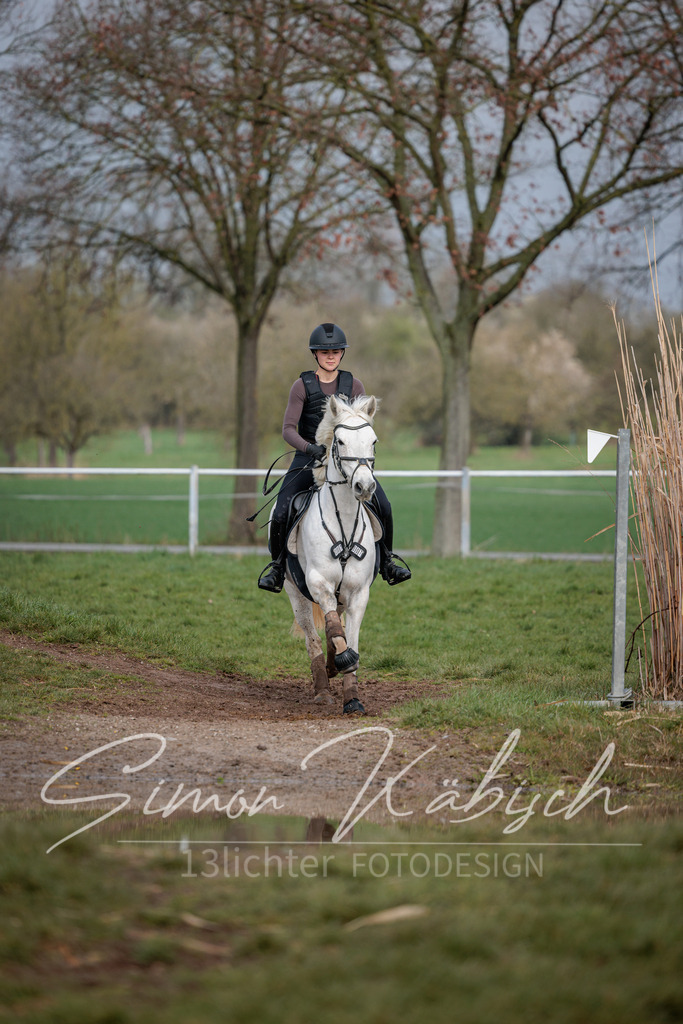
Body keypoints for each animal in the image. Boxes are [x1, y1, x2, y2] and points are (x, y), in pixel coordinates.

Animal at [282, 393, 383, 715]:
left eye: (373, 441)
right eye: (339, 441)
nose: (364, 486)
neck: (344, 521)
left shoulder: (358, 593)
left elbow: (350, 637)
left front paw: (352, 697)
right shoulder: (319, 584)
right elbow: (335, 633)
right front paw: (341, 664)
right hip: (295, 592)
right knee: (313, 638)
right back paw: (322, 688)